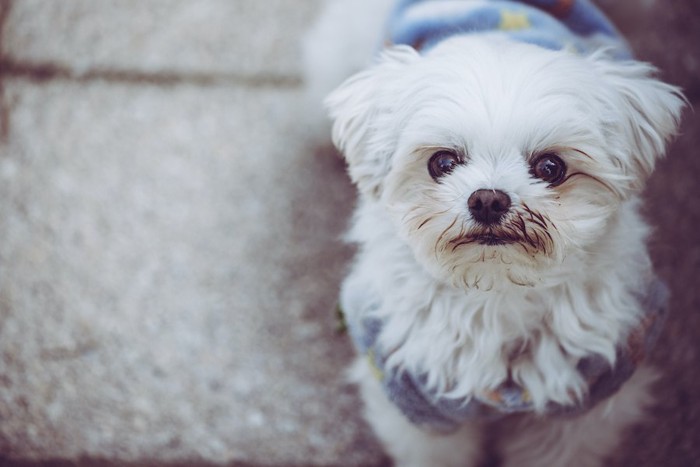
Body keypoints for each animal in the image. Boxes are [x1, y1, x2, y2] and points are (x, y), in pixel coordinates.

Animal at [302, 1, 684, 466]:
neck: (497, 291)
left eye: (551, 167)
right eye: (442, 162)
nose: (487, 199)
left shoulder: (583, 404)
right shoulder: (417, 402)